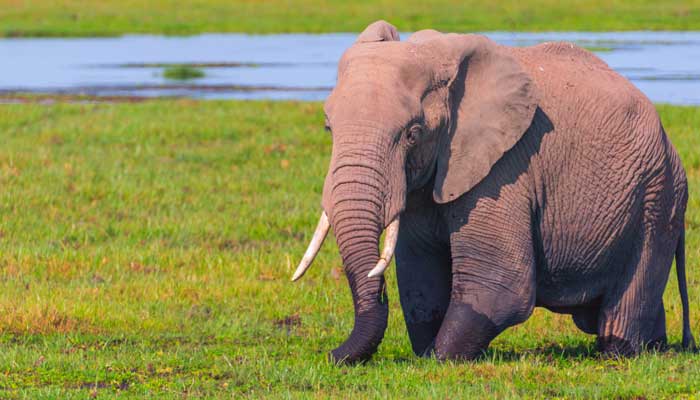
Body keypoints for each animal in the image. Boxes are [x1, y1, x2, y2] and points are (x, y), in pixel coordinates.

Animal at [291, 20, 696, 364]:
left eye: (413, 133)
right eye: (328, 128)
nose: (328, 356)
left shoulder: (504, 169)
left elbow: (499, 285)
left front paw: (437, 358)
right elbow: (421, 275)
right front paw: (424, 351)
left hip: (656, 197)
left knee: (629, 295)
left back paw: (621, 352)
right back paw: (657, 348)